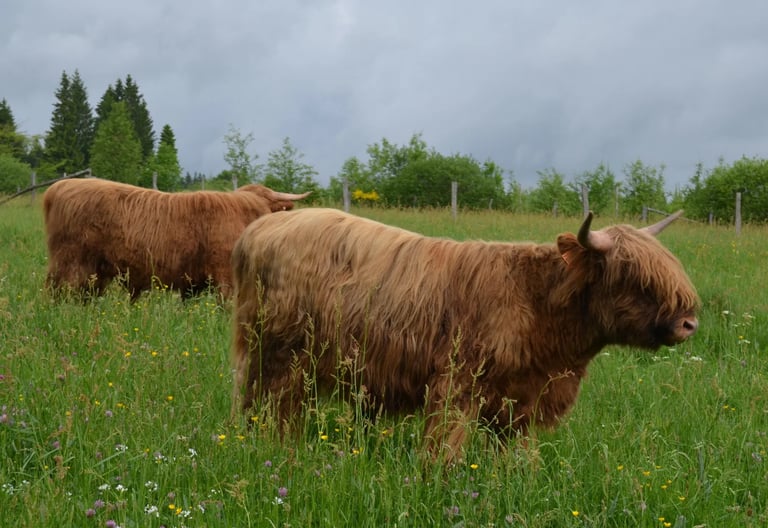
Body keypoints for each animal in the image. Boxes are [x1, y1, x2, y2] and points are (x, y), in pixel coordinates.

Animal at [231, 208, 699, 458]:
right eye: (635, 277)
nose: (688, 323)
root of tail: (259, 227)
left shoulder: (519, 401)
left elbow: (515, 457)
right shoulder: (457, 386)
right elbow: (445, 450)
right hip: (281, 355)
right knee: (273, 406)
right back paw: (276, 450)